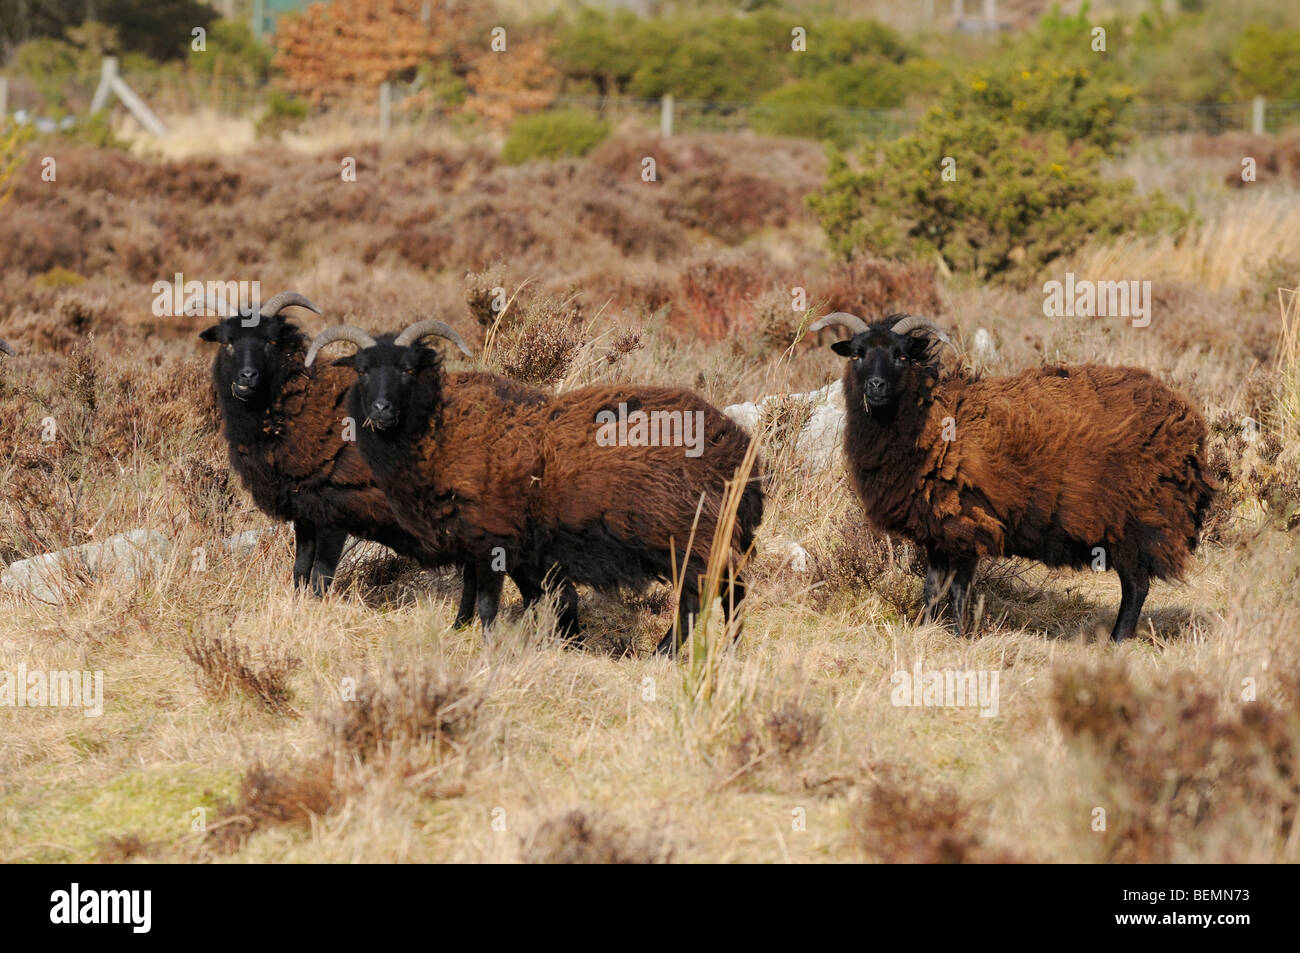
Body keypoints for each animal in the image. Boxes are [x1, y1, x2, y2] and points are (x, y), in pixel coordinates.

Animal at [811, 312, 1216, 639]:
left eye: (901, 356)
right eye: (857, 354)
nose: (875, 387)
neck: (925, 419)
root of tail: (1188, 419)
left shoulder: (966, 522)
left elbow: (958, 589)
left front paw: (958, 636)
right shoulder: (937, 529)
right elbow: (932, 588)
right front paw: (924, 630)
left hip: (1136, 518)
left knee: (1136, 587)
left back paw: (1117, 640)